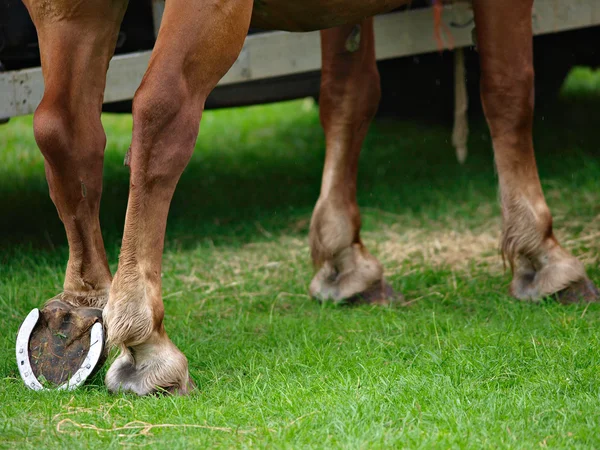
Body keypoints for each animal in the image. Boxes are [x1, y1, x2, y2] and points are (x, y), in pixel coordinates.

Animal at [21, 0, 596, 394]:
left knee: (64, 132)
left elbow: (349, 93)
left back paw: (81, 303)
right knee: (158, 113)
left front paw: (345, 261)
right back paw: (145, 338)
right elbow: (509, 90)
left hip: (69, 13)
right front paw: (543, 256)